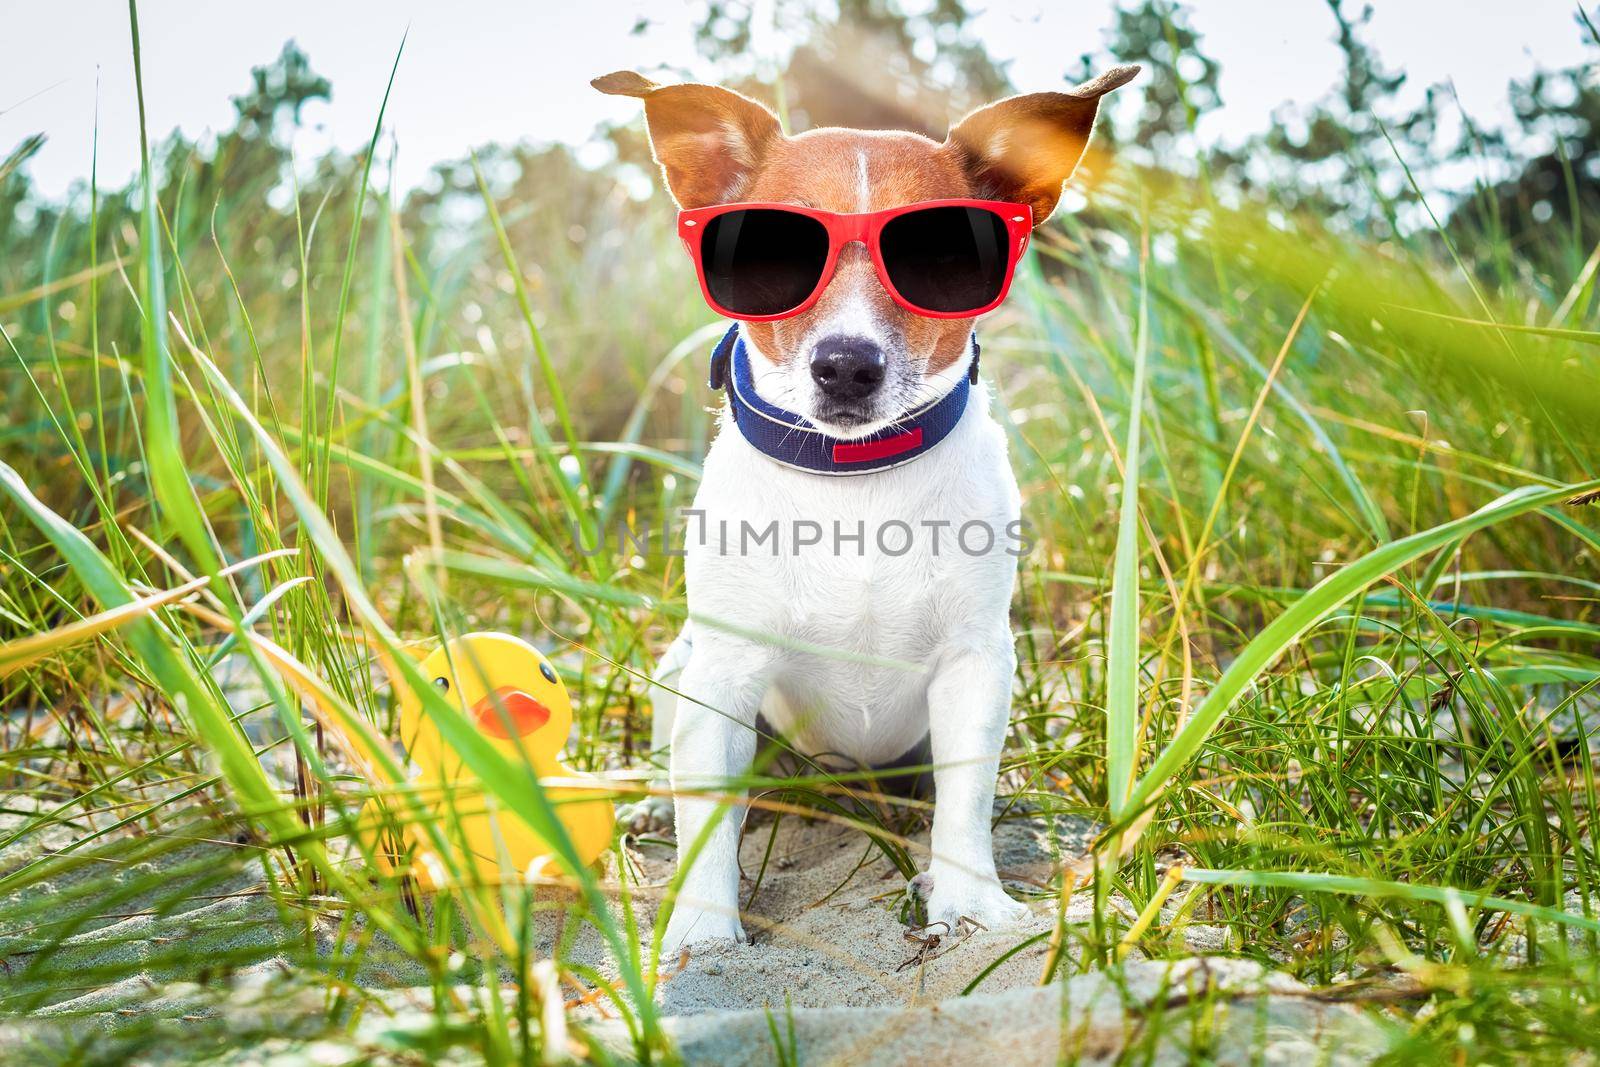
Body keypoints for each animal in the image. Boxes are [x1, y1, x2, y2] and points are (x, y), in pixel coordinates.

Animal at [595, 66, 1132, 953]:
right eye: (773, 252)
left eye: (942, 256)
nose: (846, 364)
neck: (855, 478)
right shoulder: (724, 673)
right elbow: (707, 819)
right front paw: (703, 934)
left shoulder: (975, 666)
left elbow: (965, 806)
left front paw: (970, 902)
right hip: (683, 665)